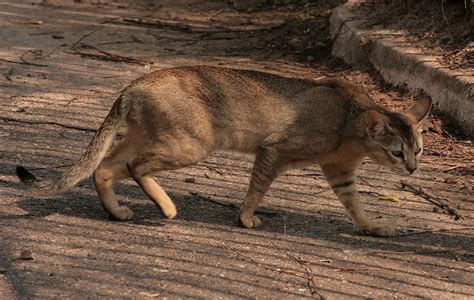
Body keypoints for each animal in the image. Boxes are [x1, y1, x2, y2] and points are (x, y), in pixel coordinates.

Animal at [14, 65, 432, 237]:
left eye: (419, 150)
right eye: (397, 153)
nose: (412, 170)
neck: (349, 120)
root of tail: (135, 83)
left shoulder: (340, 172)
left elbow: (355, 204)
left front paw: (370, 226)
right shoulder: (273, 150)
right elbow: (257, 188)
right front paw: (246, 218)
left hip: (150, 137)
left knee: (105, 168)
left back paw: (118, 212)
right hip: (190, 144)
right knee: (136, 166)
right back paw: (167, 208)